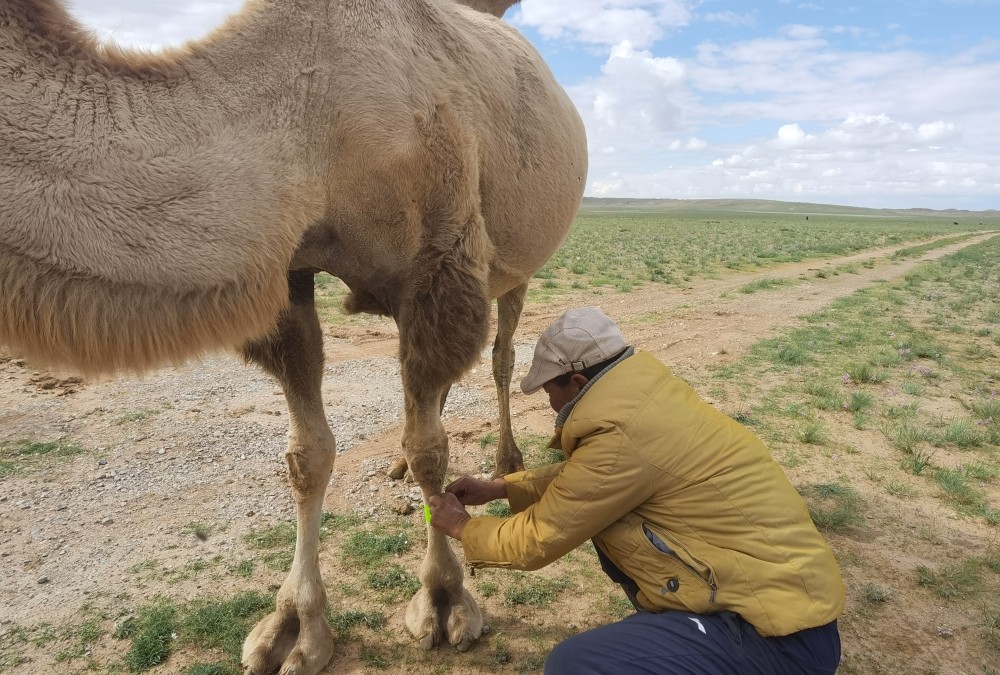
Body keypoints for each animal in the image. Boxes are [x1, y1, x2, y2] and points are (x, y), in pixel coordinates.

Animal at [0, 1, 584, 675]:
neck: (312, 121)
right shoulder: (291, 273)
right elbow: (309, 453)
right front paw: (294, 626)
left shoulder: (441, 259)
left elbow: (432, 450)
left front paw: (443, 600)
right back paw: (393, 465)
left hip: (517, 262)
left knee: (500, 354)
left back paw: (507, 459)